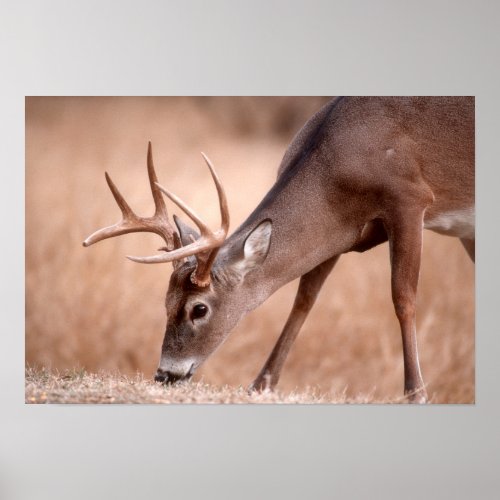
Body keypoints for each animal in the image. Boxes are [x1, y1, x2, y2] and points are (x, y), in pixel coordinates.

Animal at [84, 96, 474, 402]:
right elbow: (303, 300)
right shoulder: (337, 234)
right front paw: (261, 384)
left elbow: (403, 297)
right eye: (165, 302)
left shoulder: (409, 198)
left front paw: (415, 392)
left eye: (199, 309)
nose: (164, 374)